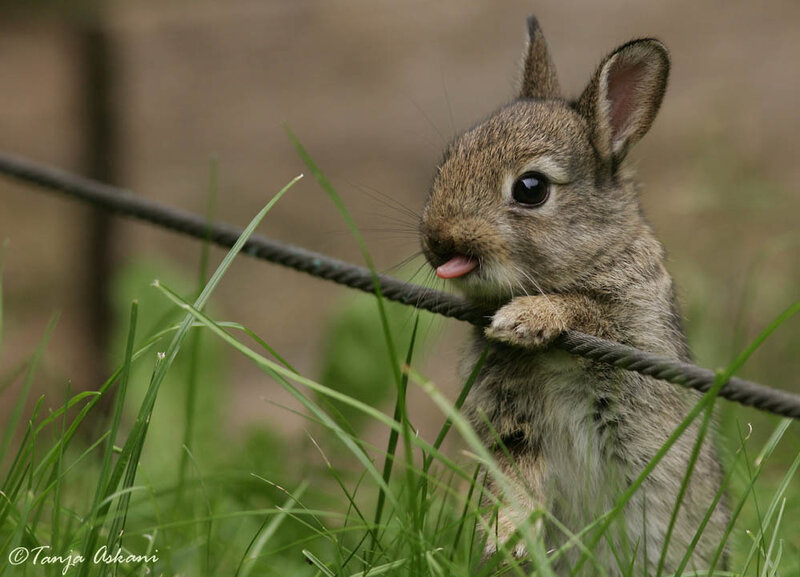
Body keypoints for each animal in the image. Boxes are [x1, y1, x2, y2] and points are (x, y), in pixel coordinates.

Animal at [419, 16, 729, 576]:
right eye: (449, 159)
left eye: (531, 188)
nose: (437, 241)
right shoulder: (512, 423)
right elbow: (517, 474)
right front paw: (505, 537)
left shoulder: (635, 330)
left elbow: (585, 309)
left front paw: (525, 319)